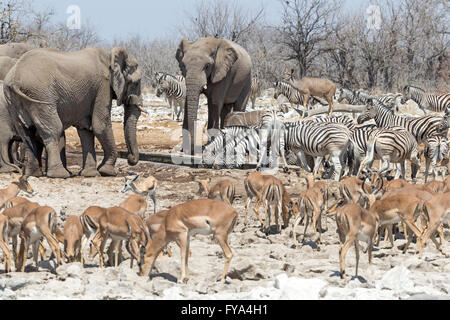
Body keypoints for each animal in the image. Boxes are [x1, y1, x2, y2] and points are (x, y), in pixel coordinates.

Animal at [2, 46, 143, 179]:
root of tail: (15, 77)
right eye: (136, 82)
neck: (109, 55)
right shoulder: (103, 86)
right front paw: (107, 172)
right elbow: (100, 126)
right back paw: (60, 175)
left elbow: (85, 128)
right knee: (54, 129)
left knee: (27, 134)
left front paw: (90, 174)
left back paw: (34, 174)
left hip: (14, 100)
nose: (130, 159)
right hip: (41, 95)